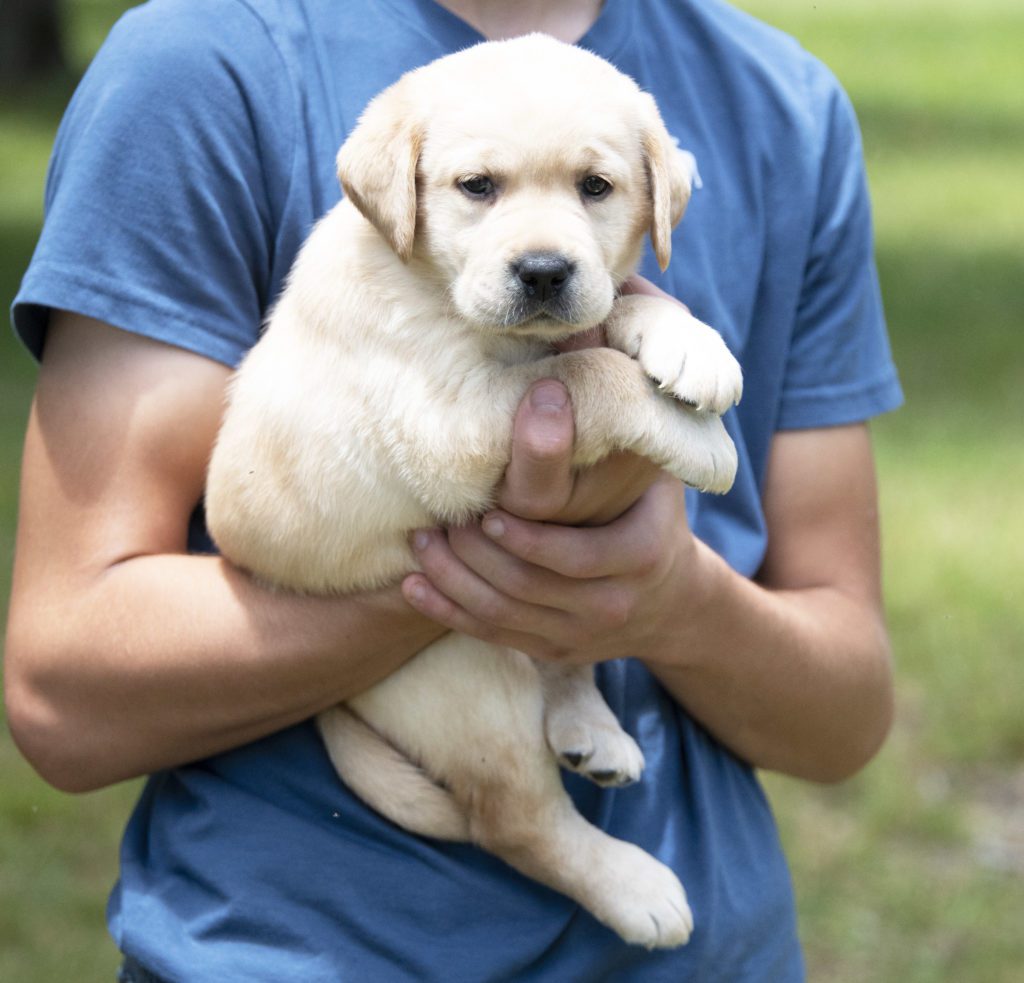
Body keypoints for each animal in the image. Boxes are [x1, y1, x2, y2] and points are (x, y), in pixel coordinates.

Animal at [203, 34, 741, 950]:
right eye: (477, 187)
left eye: (596, 187)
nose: (545, 272)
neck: (433, 281)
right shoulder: (446, 422)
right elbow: (587, 370)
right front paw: (698, 438)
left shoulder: (576, 313)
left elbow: (617, 307)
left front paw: (691, 343)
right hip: (466, 674)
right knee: (512, 820)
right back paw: (633, 885)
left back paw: (589, 727)